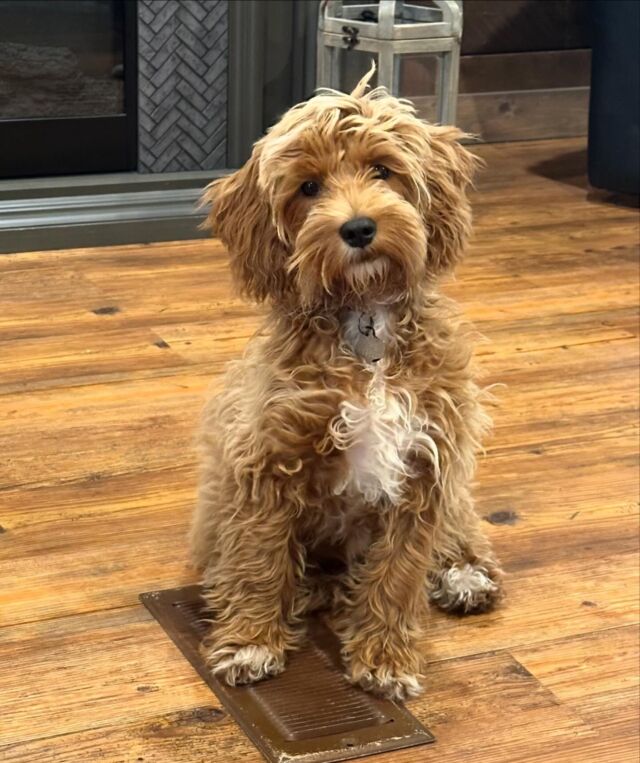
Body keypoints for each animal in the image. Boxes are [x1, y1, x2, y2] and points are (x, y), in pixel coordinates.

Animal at [188, 68, 502, 700]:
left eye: (382, 169)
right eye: (308, 187)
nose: (358, 227)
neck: (364, 319)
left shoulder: (425, 467)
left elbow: (400, 573)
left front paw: (385, 657)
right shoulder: (266, 461)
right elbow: (259, 558)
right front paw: (251, 641)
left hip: (456, 489)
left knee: (461, 534)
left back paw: (464, 576)